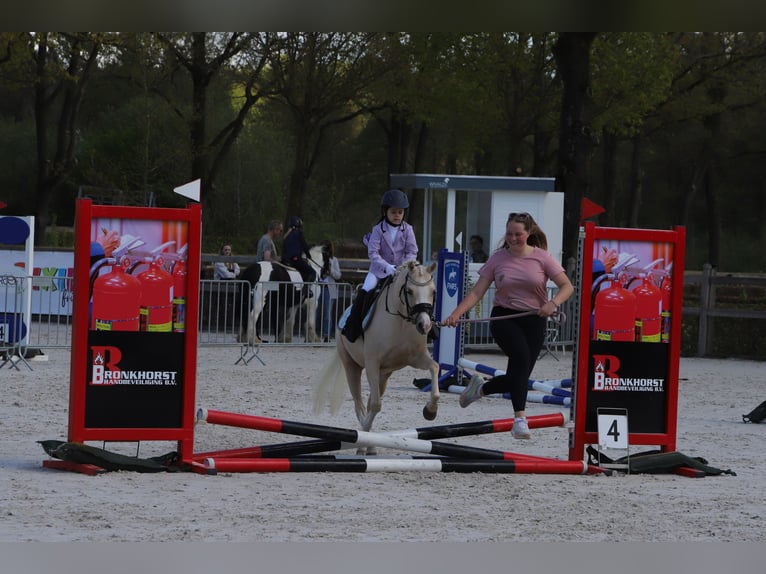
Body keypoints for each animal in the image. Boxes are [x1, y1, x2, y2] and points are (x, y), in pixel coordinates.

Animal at [314, 260, 444, 450]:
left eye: (434, 291)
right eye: (409, 291)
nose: (424, 325)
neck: (401, 323)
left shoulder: (416, 358)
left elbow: (435, 368)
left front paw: (430, 410)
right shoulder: (372, 364)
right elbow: (376, 405)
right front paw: (362, 440)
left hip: (384, 375)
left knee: (368, 403)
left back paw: (369, 444)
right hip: (352, 367)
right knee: (359, 405)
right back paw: (364, 440)